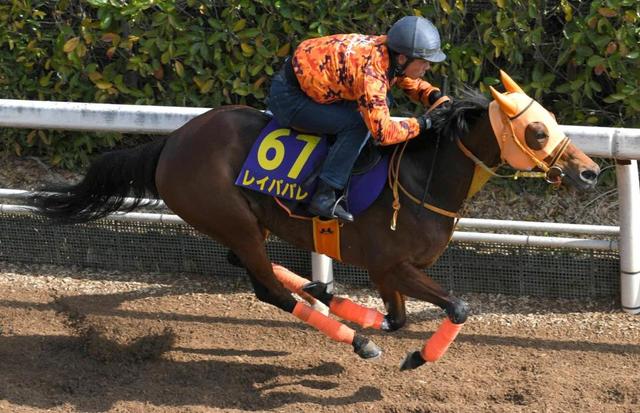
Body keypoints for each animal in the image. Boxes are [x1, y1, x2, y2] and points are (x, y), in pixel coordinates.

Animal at [27, 71, 600, 370]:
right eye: (536, 132)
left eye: (551, 121)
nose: (590, 171)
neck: (422, 179)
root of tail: (171, 142)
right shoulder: (391, 265)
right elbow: (456, 306)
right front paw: (414, 355)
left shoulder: (389, 271)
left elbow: (398, 317)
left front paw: (351, 306)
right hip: (229, 216)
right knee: (266, 288)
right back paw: (353, 337)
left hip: (244, 221)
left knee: (247, 265)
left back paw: (323, 296)